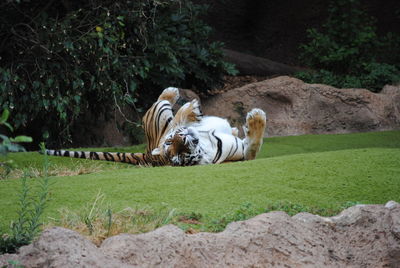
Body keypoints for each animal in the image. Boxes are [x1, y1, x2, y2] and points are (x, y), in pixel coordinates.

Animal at [43, 87, 268, 166]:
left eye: (171, 142)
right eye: (179, 155)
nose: (183, 138)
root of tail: (147, 153)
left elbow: (181, 118)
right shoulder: (243, 155)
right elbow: (254, 144)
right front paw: (257, 118)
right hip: (158, 112)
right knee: (159, 101)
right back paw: (172, 91)